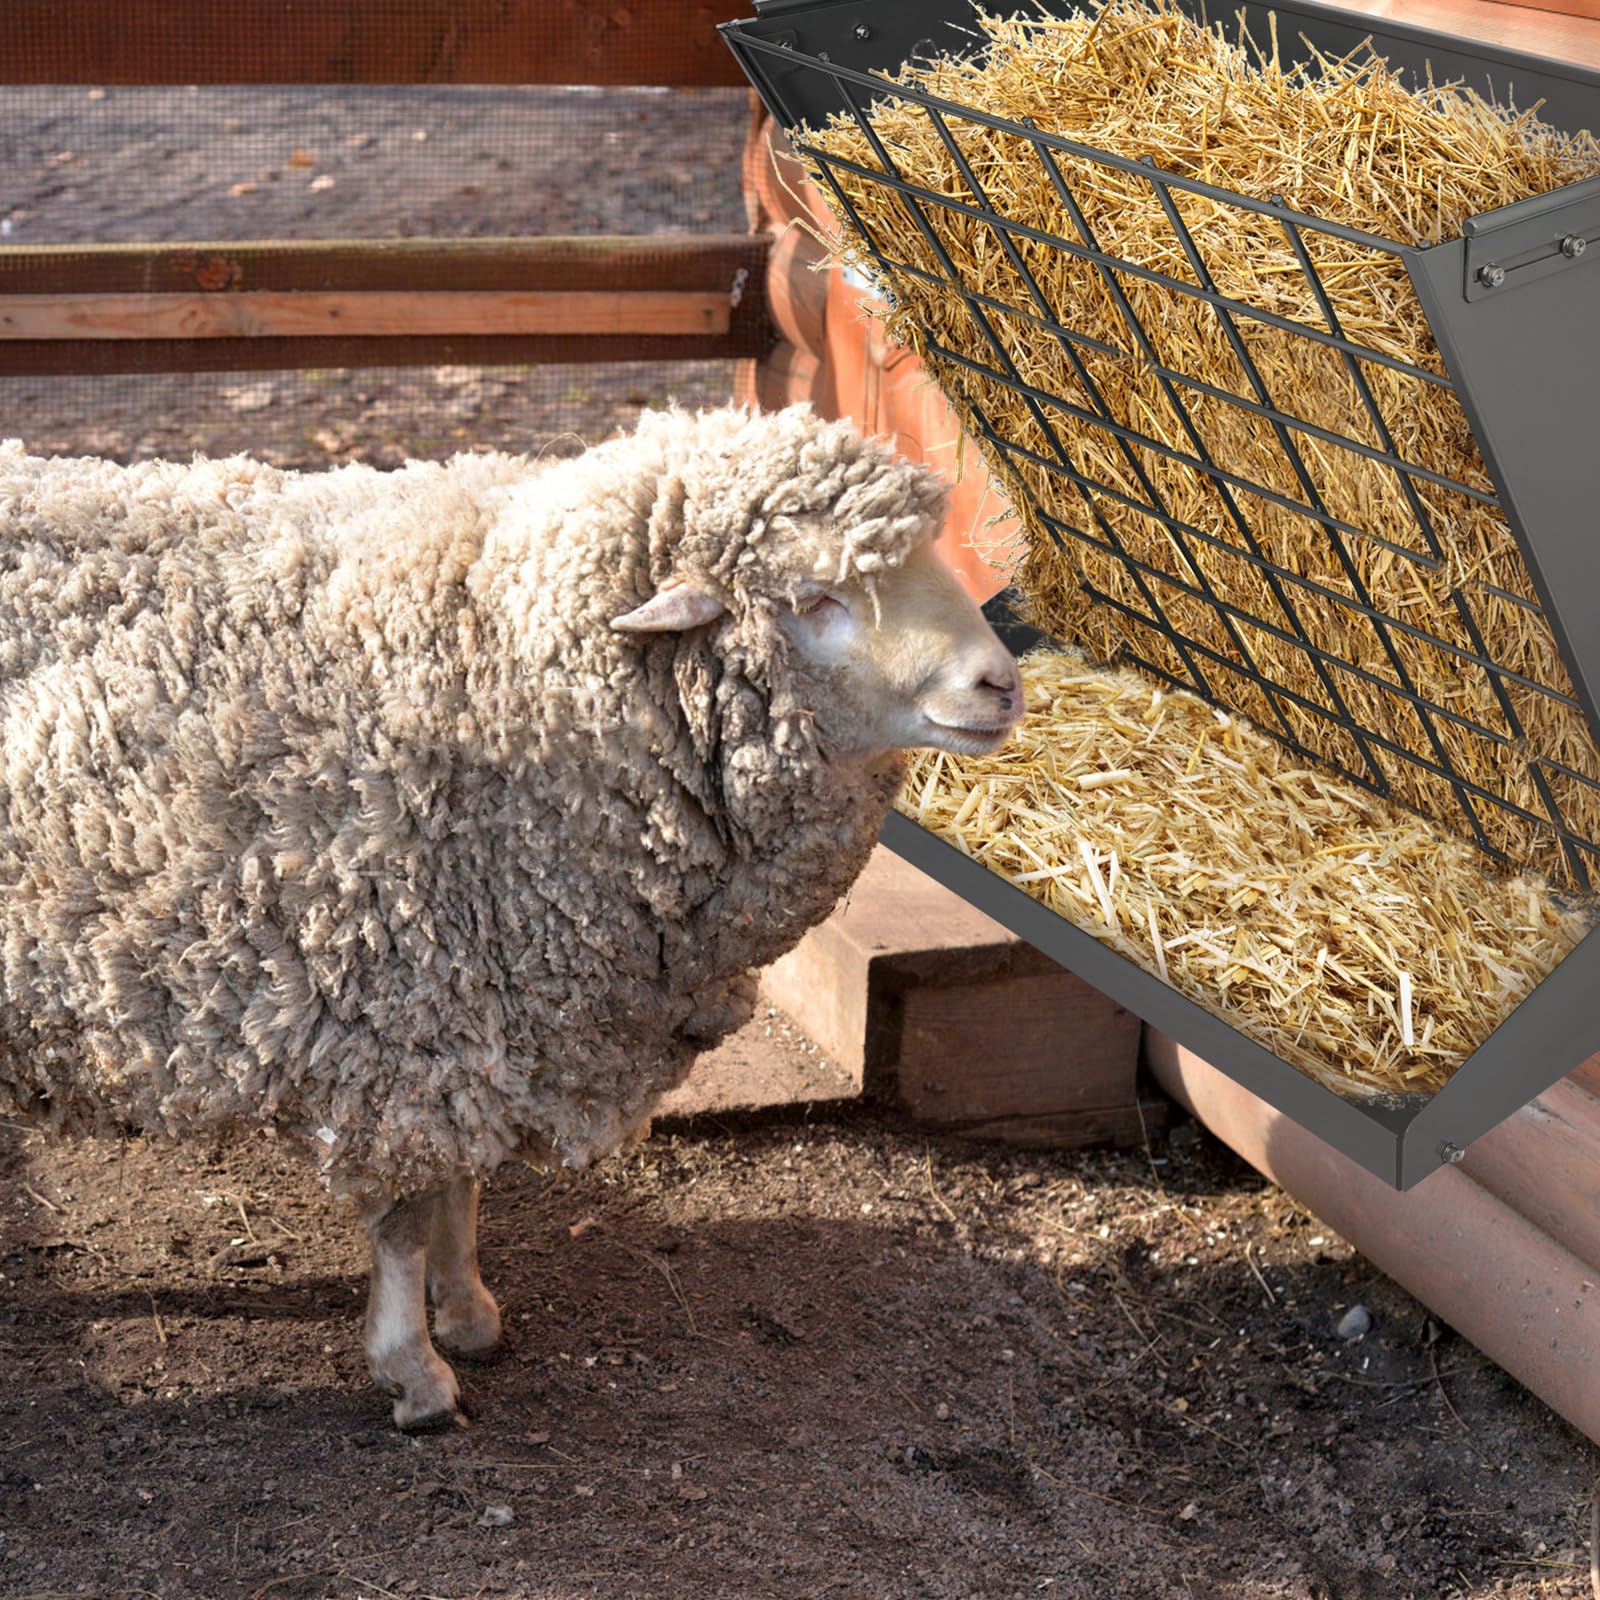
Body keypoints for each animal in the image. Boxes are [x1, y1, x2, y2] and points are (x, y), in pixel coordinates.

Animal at [0, 403, 1025, 1428]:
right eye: (815, 598)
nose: (1002, 685)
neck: (502, 656)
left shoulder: (485, 1004)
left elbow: (463, 1189)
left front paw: (467, 1311)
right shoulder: (406, 1016)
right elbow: (410, 1212)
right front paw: (413, 1371)